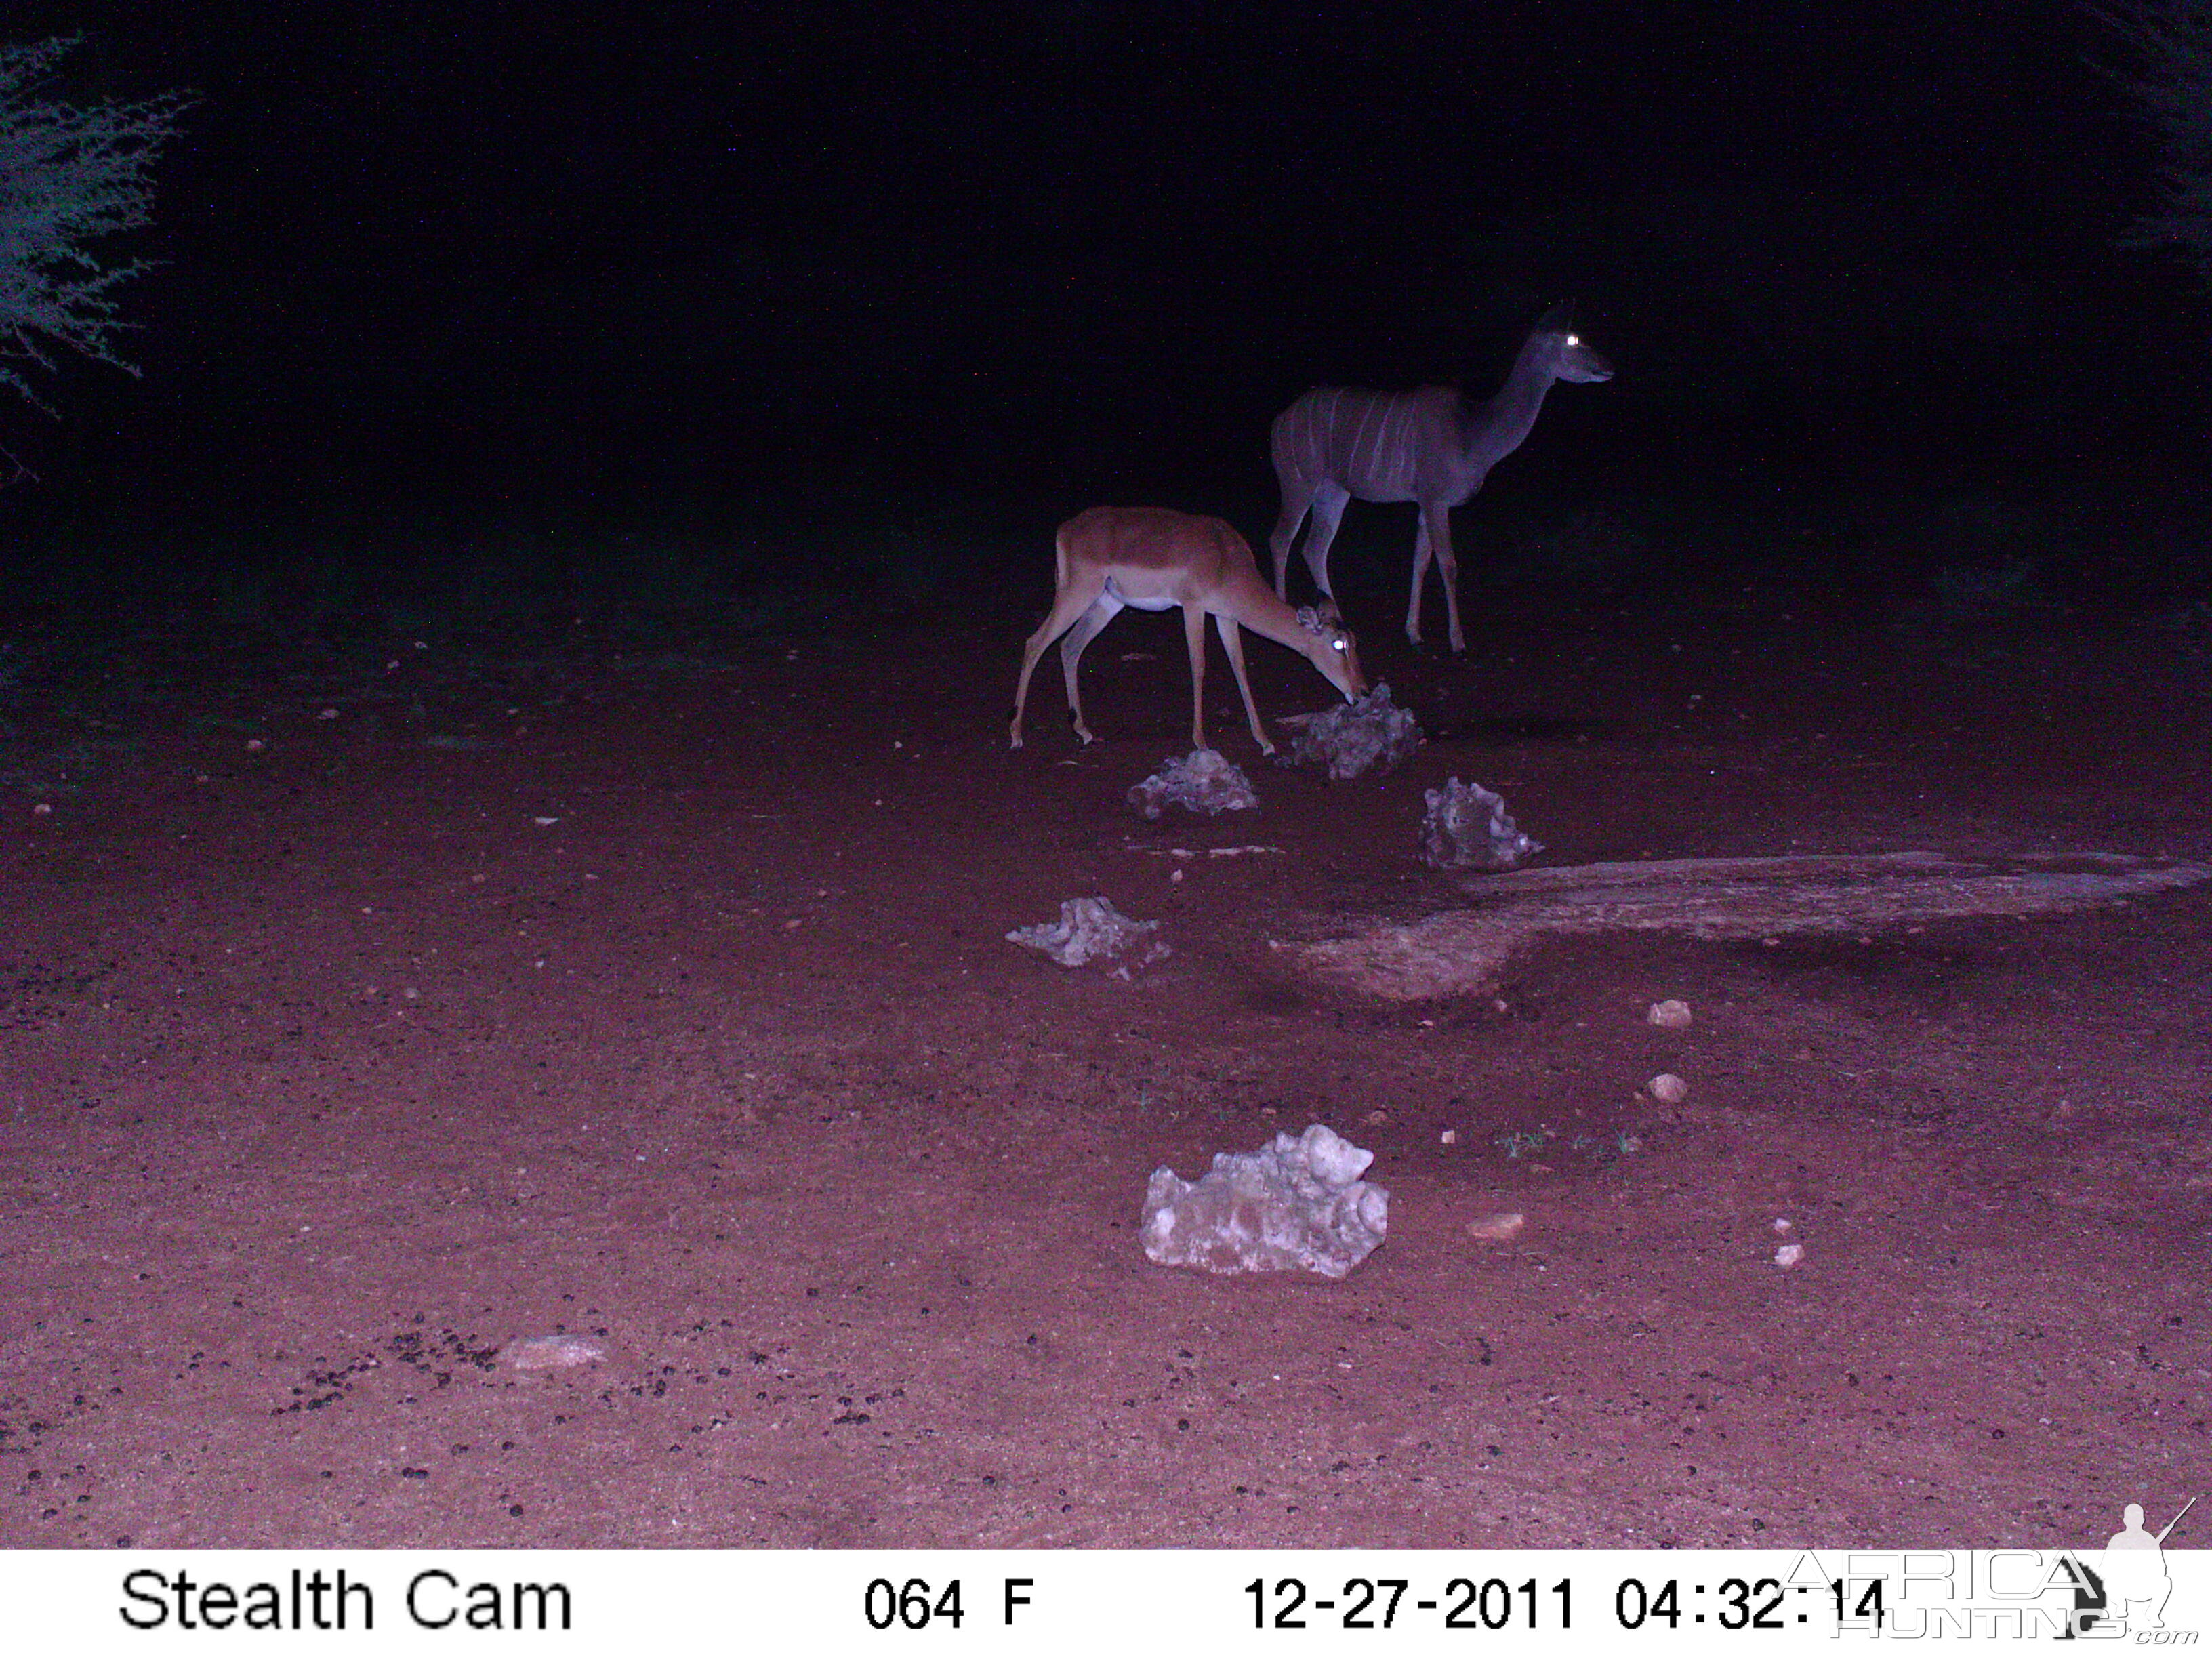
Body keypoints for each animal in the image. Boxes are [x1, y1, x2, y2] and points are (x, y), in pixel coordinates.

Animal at [1008, 506, 1353, 760]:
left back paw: (1083, 731)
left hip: (1107, 603)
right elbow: (1198, 665)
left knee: (1069, 647)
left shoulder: (1225, 617)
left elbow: (1240, 669)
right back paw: (1016, 735)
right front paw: (1201, 740)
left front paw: (1265, 741)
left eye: (1353, 642)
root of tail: (1066, 529)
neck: (1226, 559)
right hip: (1076, 594)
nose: (1360, 691)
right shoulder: (1193, 608)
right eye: (1338, 644)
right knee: (1035, 643)